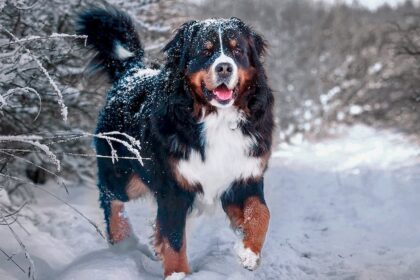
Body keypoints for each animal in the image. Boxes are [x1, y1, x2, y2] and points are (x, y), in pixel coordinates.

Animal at [78, 5, 276, 278]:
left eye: (237, 50)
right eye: (205, 51)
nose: (225, 68)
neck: (217, 118)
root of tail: (133, 71)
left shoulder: (244, 175)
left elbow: (261, 213)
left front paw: (249, 253)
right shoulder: (173, 186)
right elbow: (174, 239)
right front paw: (178, 274)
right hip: (126, 175)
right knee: (111, 197)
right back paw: (123, 240)